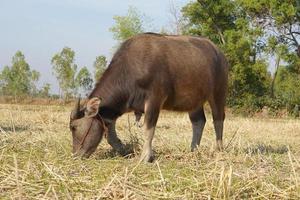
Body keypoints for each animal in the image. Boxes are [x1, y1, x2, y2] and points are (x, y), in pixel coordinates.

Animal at [69, 32, 229, 162]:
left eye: (74, 127)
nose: (75, 155)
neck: (130, 70)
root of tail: (219, 53)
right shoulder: (116, 108)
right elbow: (111, 135)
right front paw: (124, 149)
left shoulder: (154, 99)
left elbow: (148, 129)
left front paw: (145, 157)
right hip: (194, 100)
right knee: (199, 121)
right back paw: (193, 149)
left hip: (218, 92)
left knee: (218, 119)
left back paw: (219, 149)